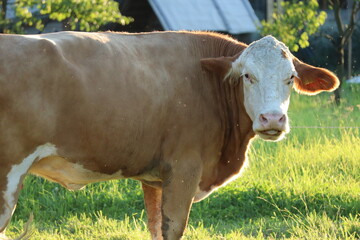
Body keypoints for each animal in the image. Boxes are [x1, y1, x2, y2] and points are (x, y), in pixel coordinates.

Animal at [0, 31, 338, 239]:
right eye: (247, 76)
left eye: (290, 78)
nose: (273, 119)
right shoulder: (184, 168)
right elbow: (173, 228)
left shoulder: (155, 178)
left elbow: (154, 227)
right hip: (8, 174)